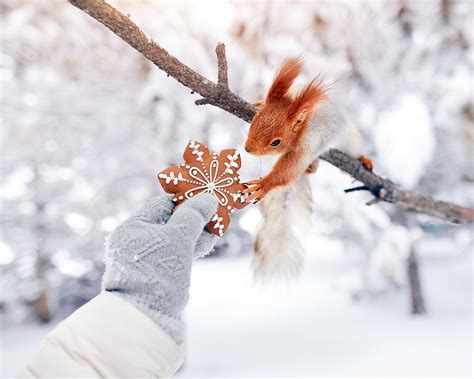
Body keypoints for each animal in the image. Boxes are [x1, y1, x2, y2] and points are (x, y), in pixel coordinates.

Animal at [244, 56, 370, 203]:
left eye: (276, 142)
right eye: (253, 121)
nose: (247, 148)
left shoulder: (308, 144)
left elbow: (289, 170)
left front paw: (263, 185)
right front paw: (260, 103)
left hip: (350, 140)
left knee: (356, 149)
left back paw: (364, 159)